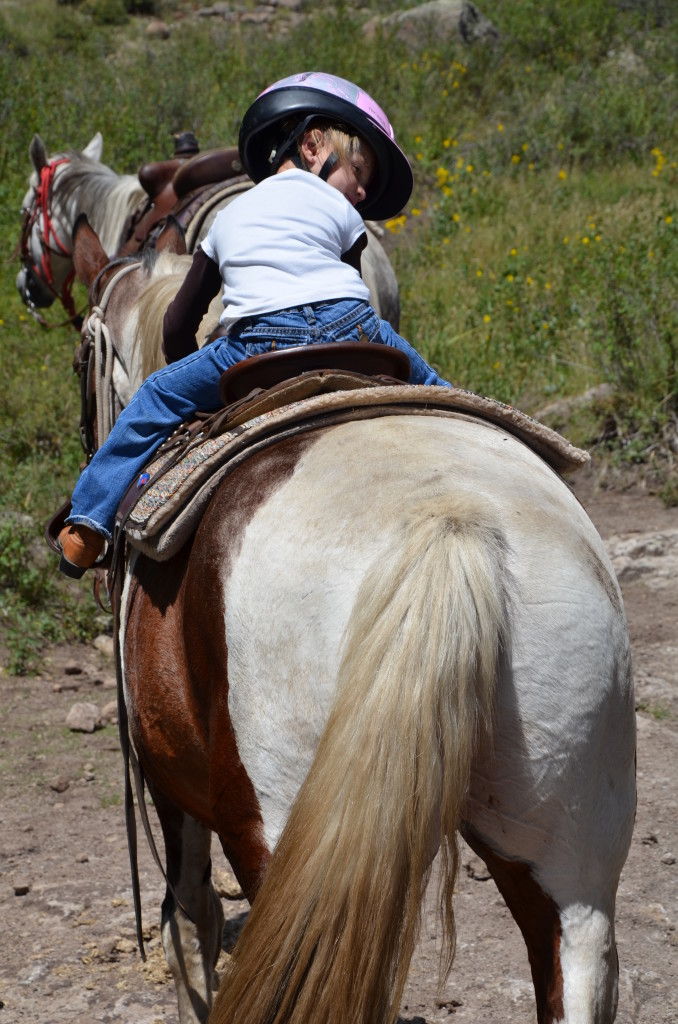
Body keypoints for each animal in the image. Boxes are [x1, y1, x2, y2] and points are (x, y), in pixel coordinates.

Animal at [69, 222, 639, 1024]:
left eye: (81, 359)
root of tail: (450, 523)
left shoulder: (164, 774)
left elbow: (189, 921)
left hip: (282, 832)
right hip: (568, 849)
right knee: (576, 965)